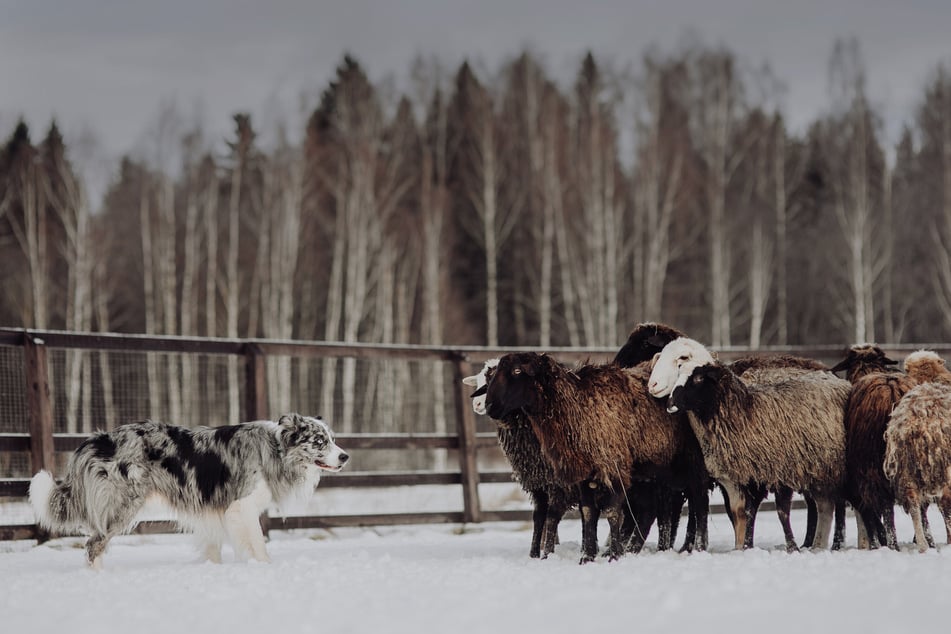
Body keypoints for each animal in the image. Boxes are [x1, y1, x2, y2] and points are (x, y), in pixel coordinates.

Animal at [488, 350, 712, 564]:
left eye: (517, 371)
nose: (490, 406)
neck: (577, 409)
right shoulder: (585, 474)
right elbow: (588, 513)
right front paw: (587, 557)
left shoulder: (614, 467)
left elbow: (612, 512)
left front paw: (614, 556)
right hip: (656, 472)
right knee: (654, 511)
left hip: (693, 462)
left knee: (699, 502)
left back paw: (696, 547)